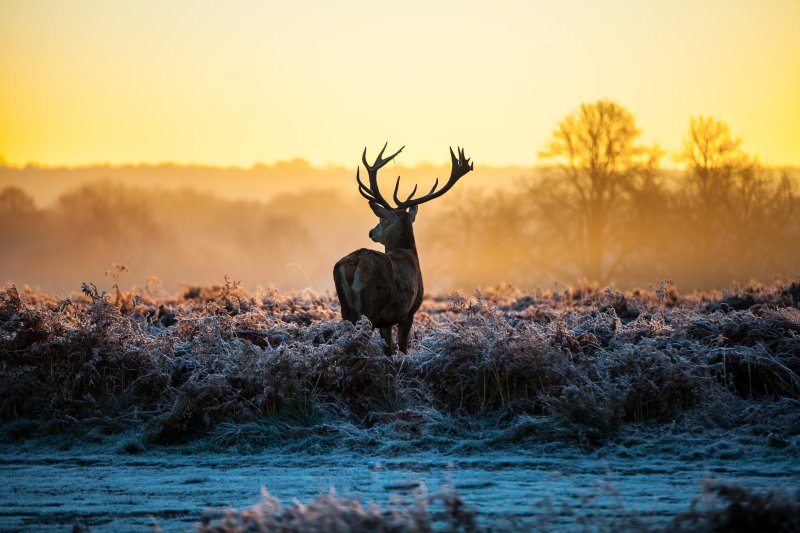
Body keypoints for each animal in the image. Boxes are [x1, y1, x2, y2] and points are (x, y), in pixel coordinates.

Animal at [332, 143, 472, 356]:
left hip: (346, 310)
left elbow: (389, 349)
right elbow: (402, 348)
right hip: (371, 306)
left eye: (381, 220)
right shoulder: (409, 311)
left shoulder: (387, 321)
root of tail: (352, 265)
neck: (408, 252)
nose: (371, 232)